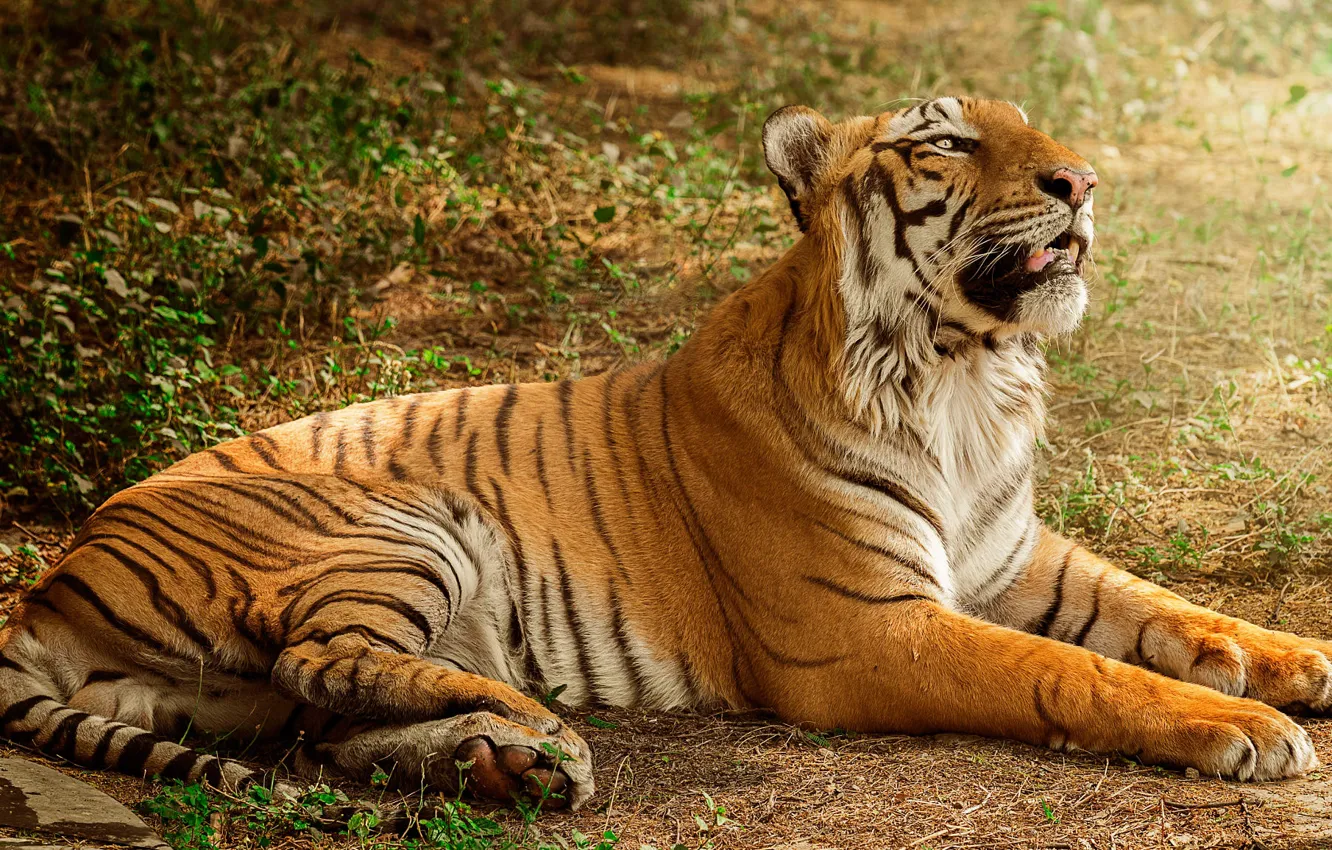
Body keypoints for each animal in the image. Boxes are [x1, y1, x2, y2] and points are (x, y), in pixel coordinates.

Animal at [1, 97, 1327, 813]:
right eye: (947, 142)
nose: (1082, 180)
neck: (963, 377)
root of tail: (51, 577)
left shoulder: (1010, 554)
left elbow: (1159, 607)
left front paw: (1297, 660)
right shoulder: (868, 628)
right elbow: (1071, 671)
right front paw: (1249, 729)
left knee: (325, 717)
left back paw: (511, 763)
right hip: (394, 528)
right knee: (327, 658)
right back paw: (530, 726)